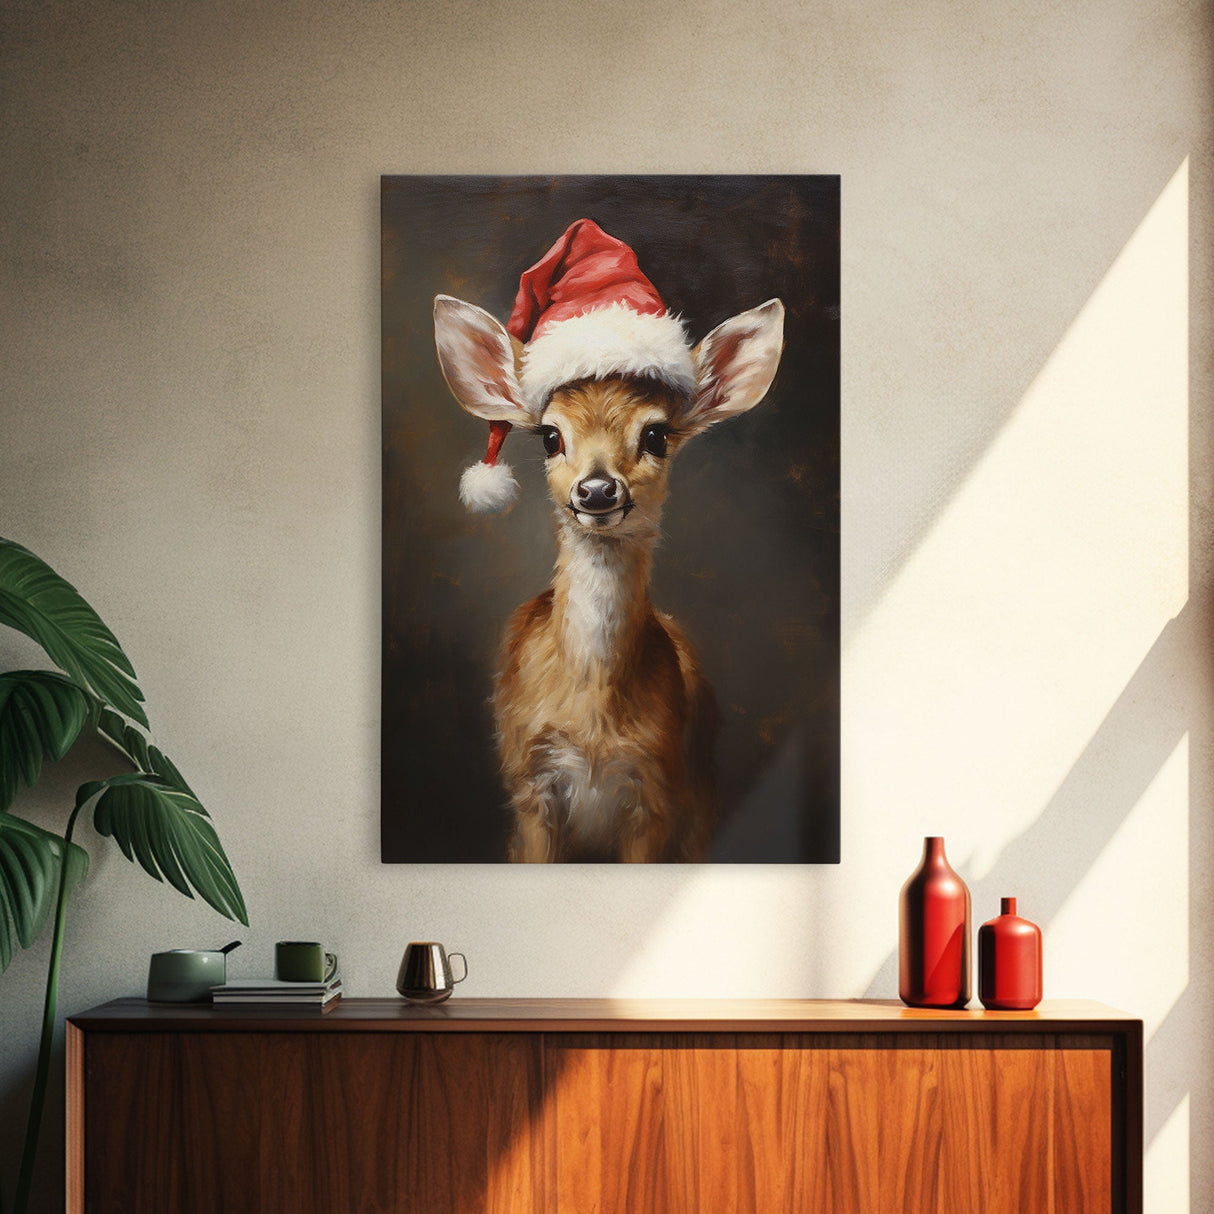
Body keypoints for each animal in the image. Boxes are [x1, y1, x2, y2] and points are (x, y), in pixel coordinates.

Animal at [433, 219, 784, 862]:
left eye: (657, 434)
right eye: (550, 436)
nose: (597, 490)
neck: (593, 720)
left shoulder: (657, 789)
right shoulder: (528, 784)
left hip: (701, 796)